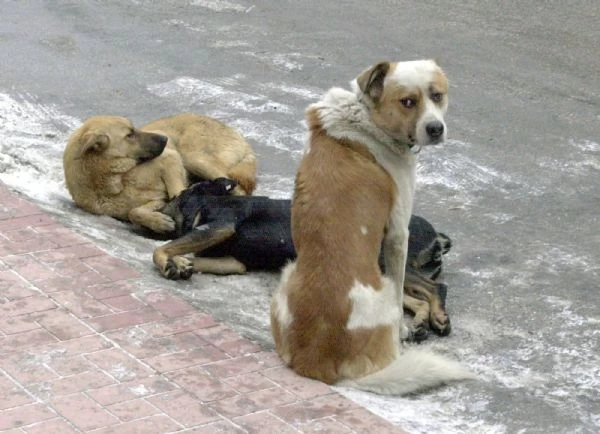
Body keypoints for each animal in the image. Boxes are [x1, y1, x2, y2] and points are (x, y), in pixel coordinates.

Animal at [63, 113, 255, 232]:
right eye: (130, 135)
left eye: (133, 129)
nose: (165, 138)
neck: (118, 179)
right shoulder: (156, 201)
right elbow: (135, 212)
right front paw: (159, 222)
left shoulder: (170, 158)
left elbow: (178, 193)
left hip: (193, 158)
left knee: (240, 190)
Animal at [157, 178, 452, 340]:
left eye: (178, 194)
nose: (159, 204)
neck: (207, 201)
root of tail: (437, 235)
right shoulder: (234, 262)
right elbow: (186, 253)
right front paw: (181, 264)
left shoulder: (221, 225)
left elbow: (163, 248)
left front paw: (169, 261)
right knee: (413, 298)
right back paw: (419, 324)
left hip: (382, 260)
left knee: (436, 286)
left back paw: (438, 316)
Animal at [270, 59, 474, 396]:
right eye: (408, 102)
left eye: (437, 95)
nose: (435, 129)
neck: (366, 117)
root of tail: (320, 363)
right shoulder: (398, 233)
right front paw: (408, 328)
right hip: (385, 289)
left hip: (286, 276)